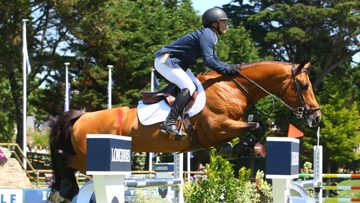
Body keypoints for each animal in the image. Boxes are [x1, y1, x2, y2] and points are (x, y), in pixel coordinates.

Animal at [47, 59, 320, 201]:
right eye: (304, 85)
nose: (316, 117)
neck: (234, 88)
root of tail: (81, 116)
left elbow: (258, 126)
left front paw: (232, 148)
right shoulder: (219, 128)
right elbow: (258, 125)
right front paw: (237, 148)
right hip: (86, 158)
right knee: (63, 158)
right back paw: (65, 189)